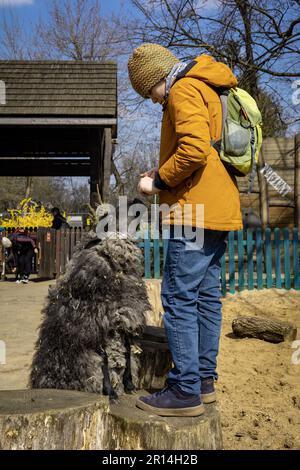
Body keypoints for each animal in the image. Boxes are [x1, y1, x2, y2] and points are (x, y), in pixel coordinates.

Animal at [30, 228, 151, 400]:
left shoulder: (124, 325)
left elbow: (127, 351)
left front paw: (129, 383)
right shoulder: (95, 331)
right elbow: (104, 360)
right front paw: (111, 392)